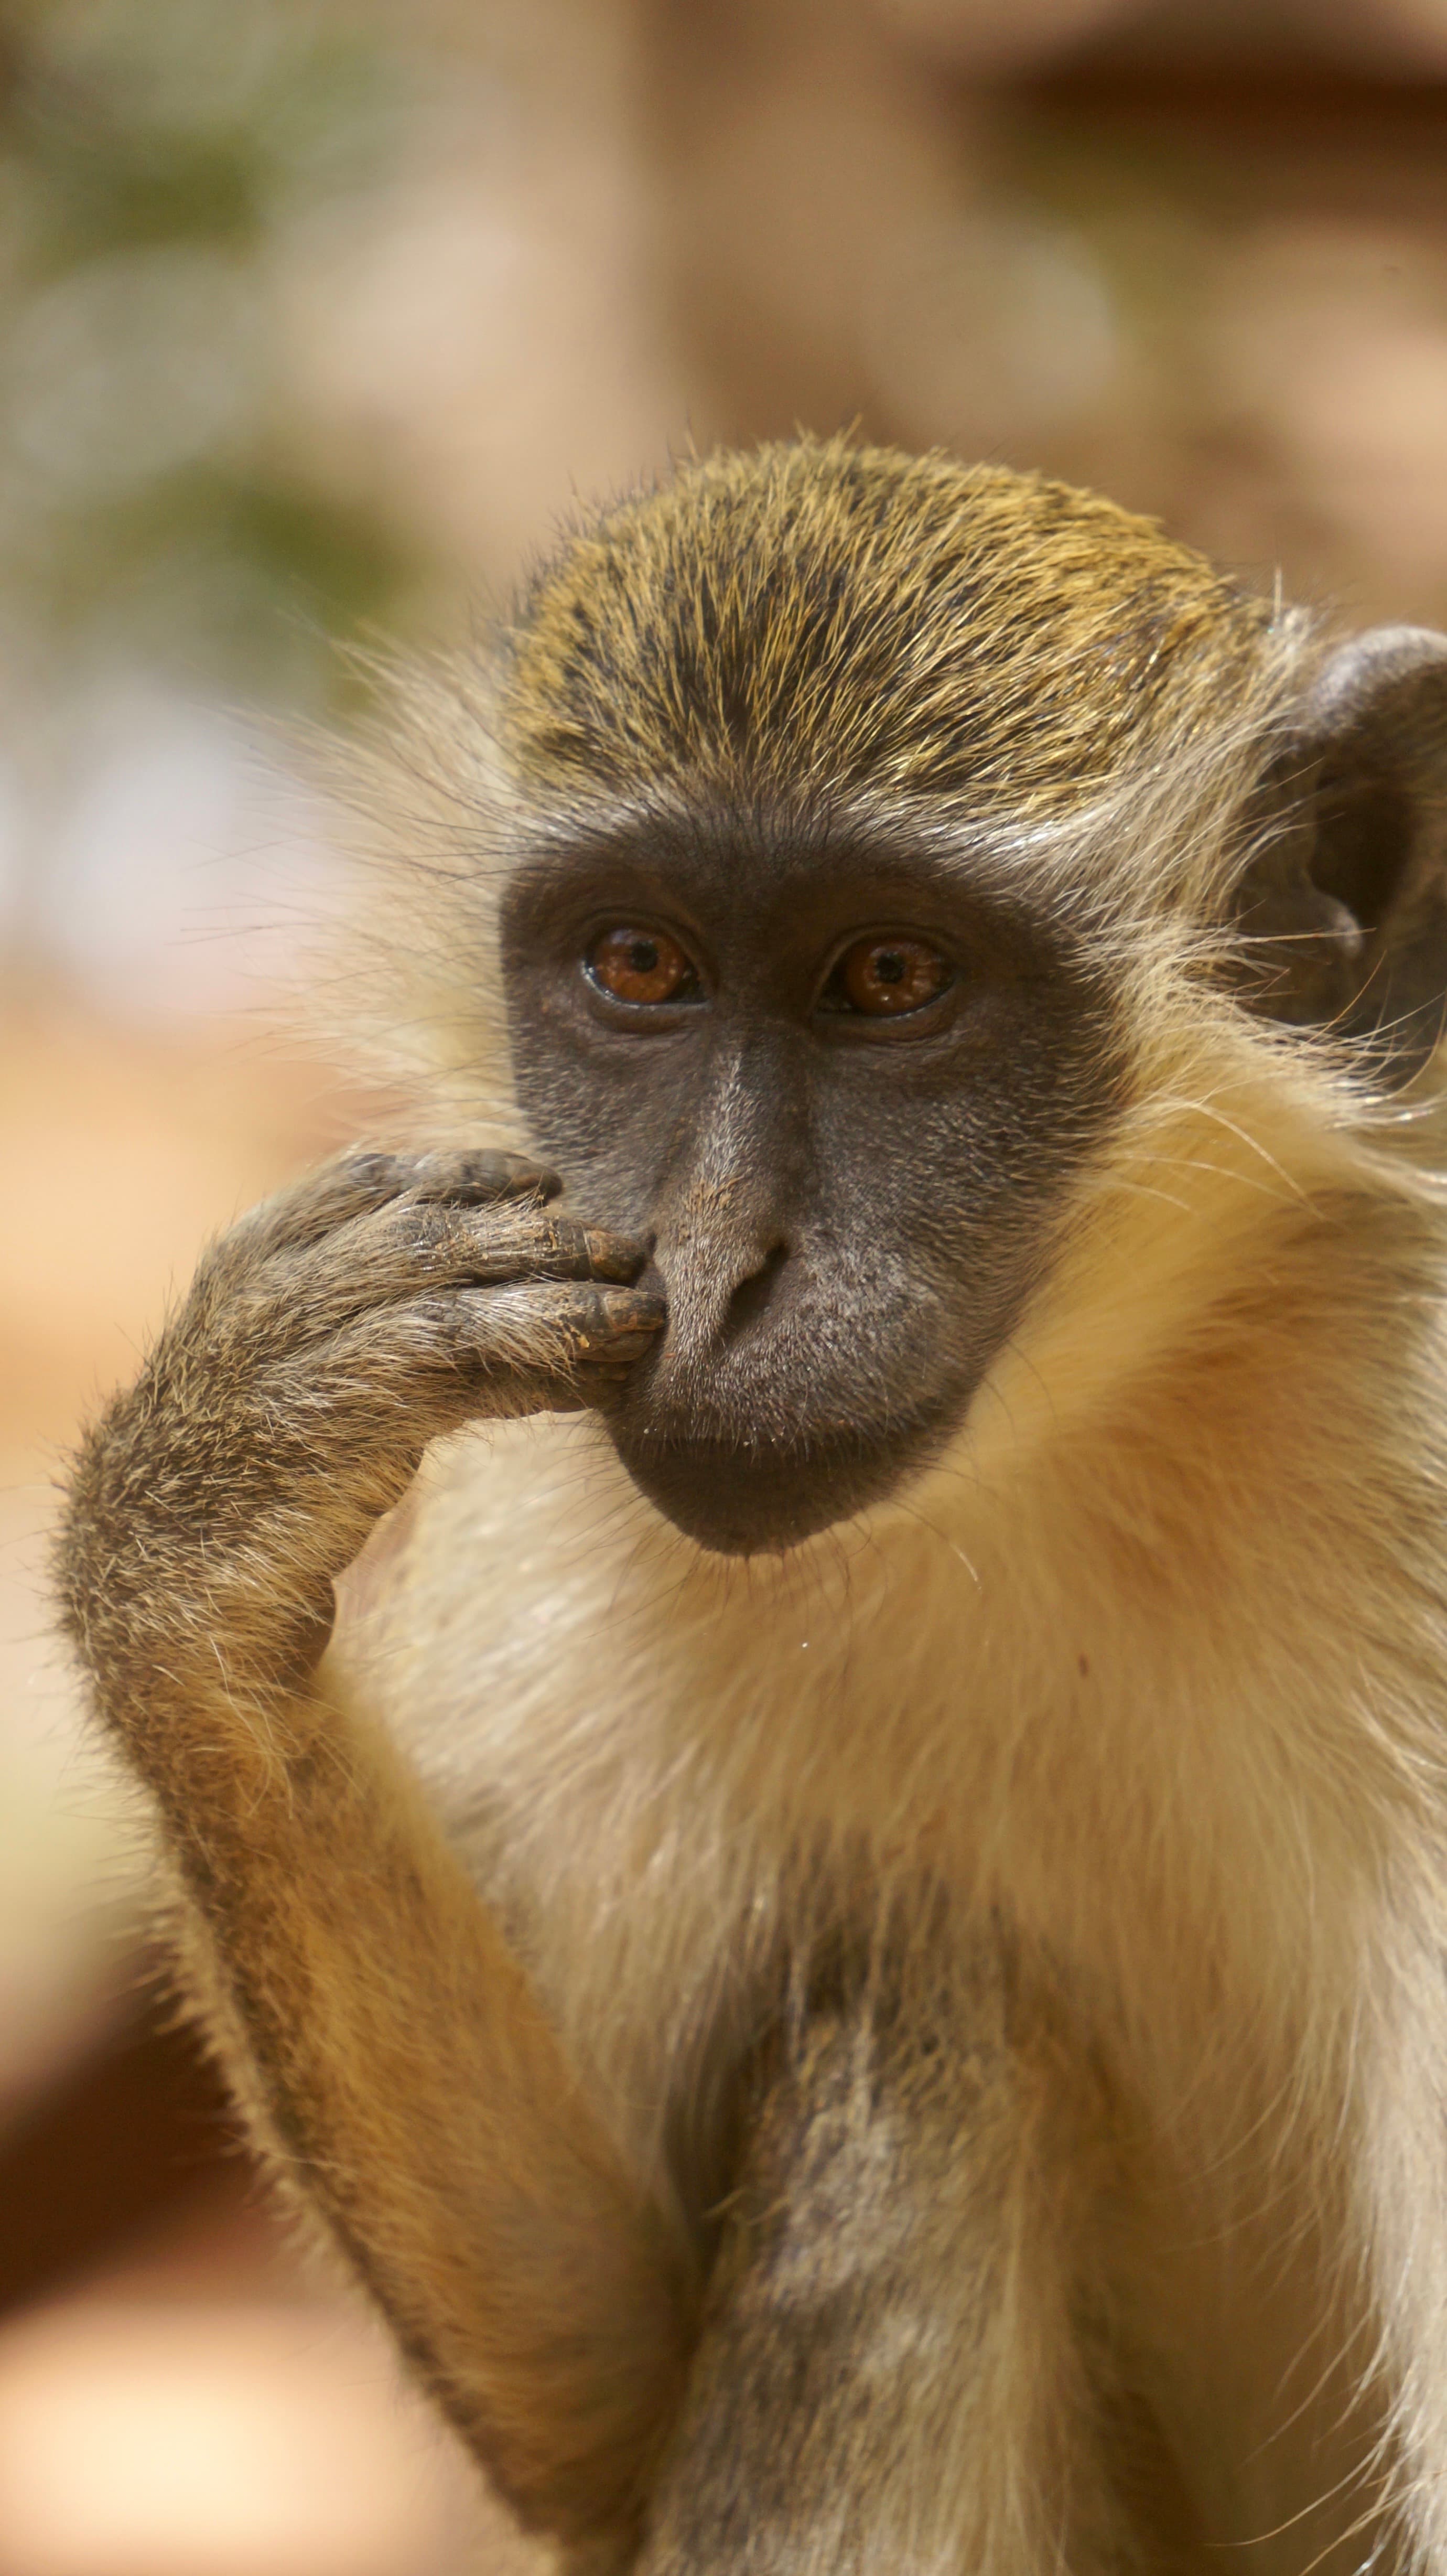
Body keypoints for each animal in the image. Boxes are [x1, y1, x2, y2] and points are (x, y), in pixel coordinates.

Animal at [54, 435, 1447, 2573]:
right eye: (638, 966)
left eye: (888, 979)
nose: (712, 1267)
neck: (1060, 1440)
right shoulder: (549, 1501)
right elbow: (598, 2378)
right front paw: (199, 1518)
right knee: (925, 2053)